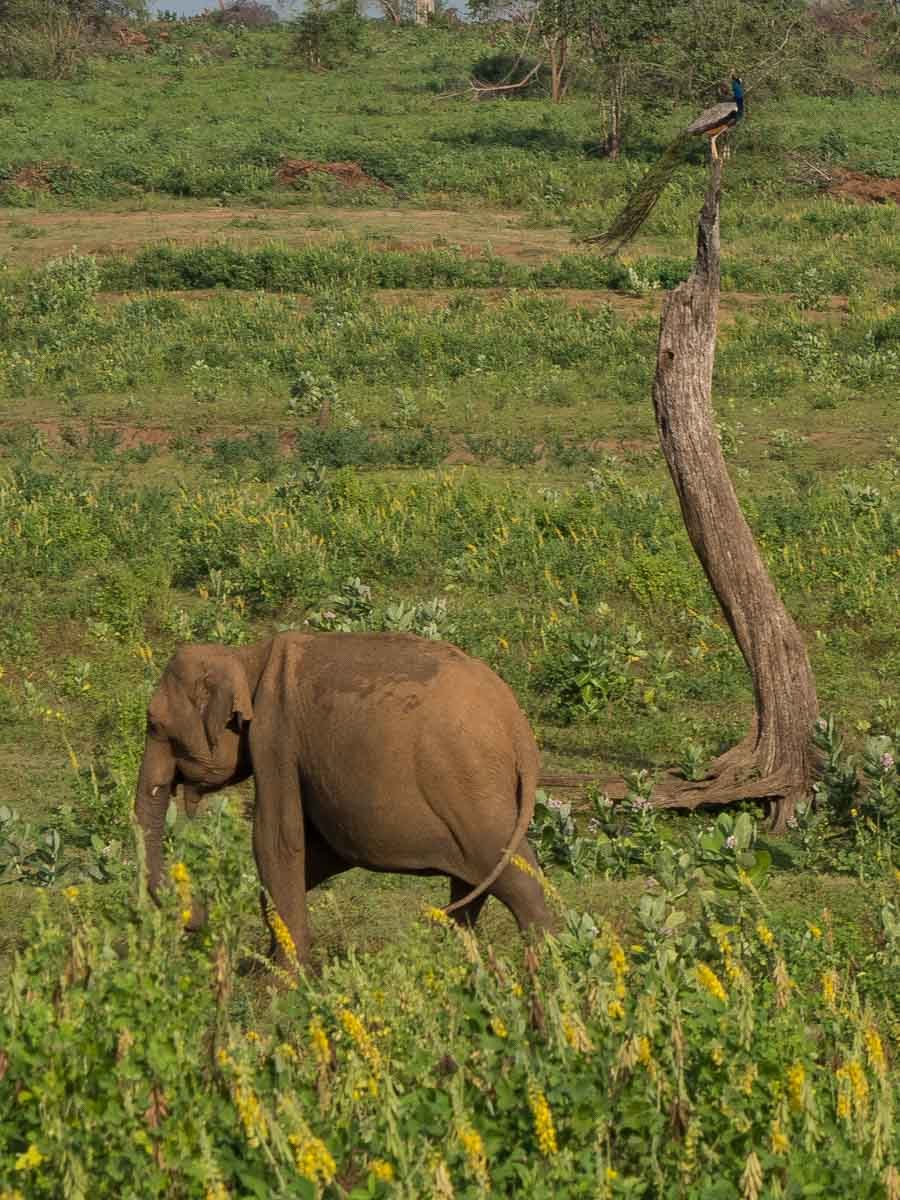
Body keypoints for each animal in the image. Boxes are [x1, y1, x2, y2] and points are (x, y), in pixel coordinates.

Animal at [134, 631, 552, 964]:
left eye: (154, 724)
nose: (198, 914)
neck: (248, 656)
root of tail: (517, 726)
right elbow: (321, 853)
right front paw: (267, 965)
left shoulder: (274, 737)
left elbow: (277, 841)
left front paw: (284, 983)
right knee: (474, 884)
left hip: (469, 784)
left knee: (516, 877)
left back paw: (547, 970)